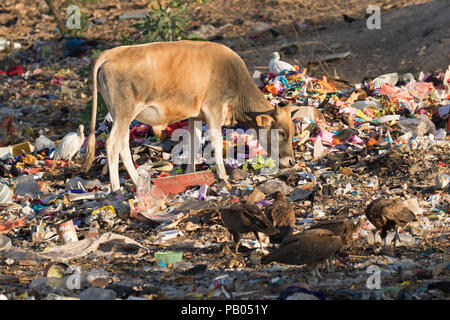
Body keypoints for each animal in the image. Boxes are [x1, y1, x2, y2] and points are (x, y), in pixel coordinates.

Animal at [82, 40, 296, 190]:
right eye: (282, 133)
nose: (292, 161)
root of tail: (110, 53)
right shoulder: (213, 109)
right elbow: (215, 141)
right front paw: (223, 175)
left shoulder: (195, 115)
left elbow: (194, 143)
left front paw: (190, 173)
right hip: (124, 112)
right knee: (112, 145)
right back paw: (116, 188)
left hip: (121, 116)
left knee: (123, 145)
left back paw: (136, 181)